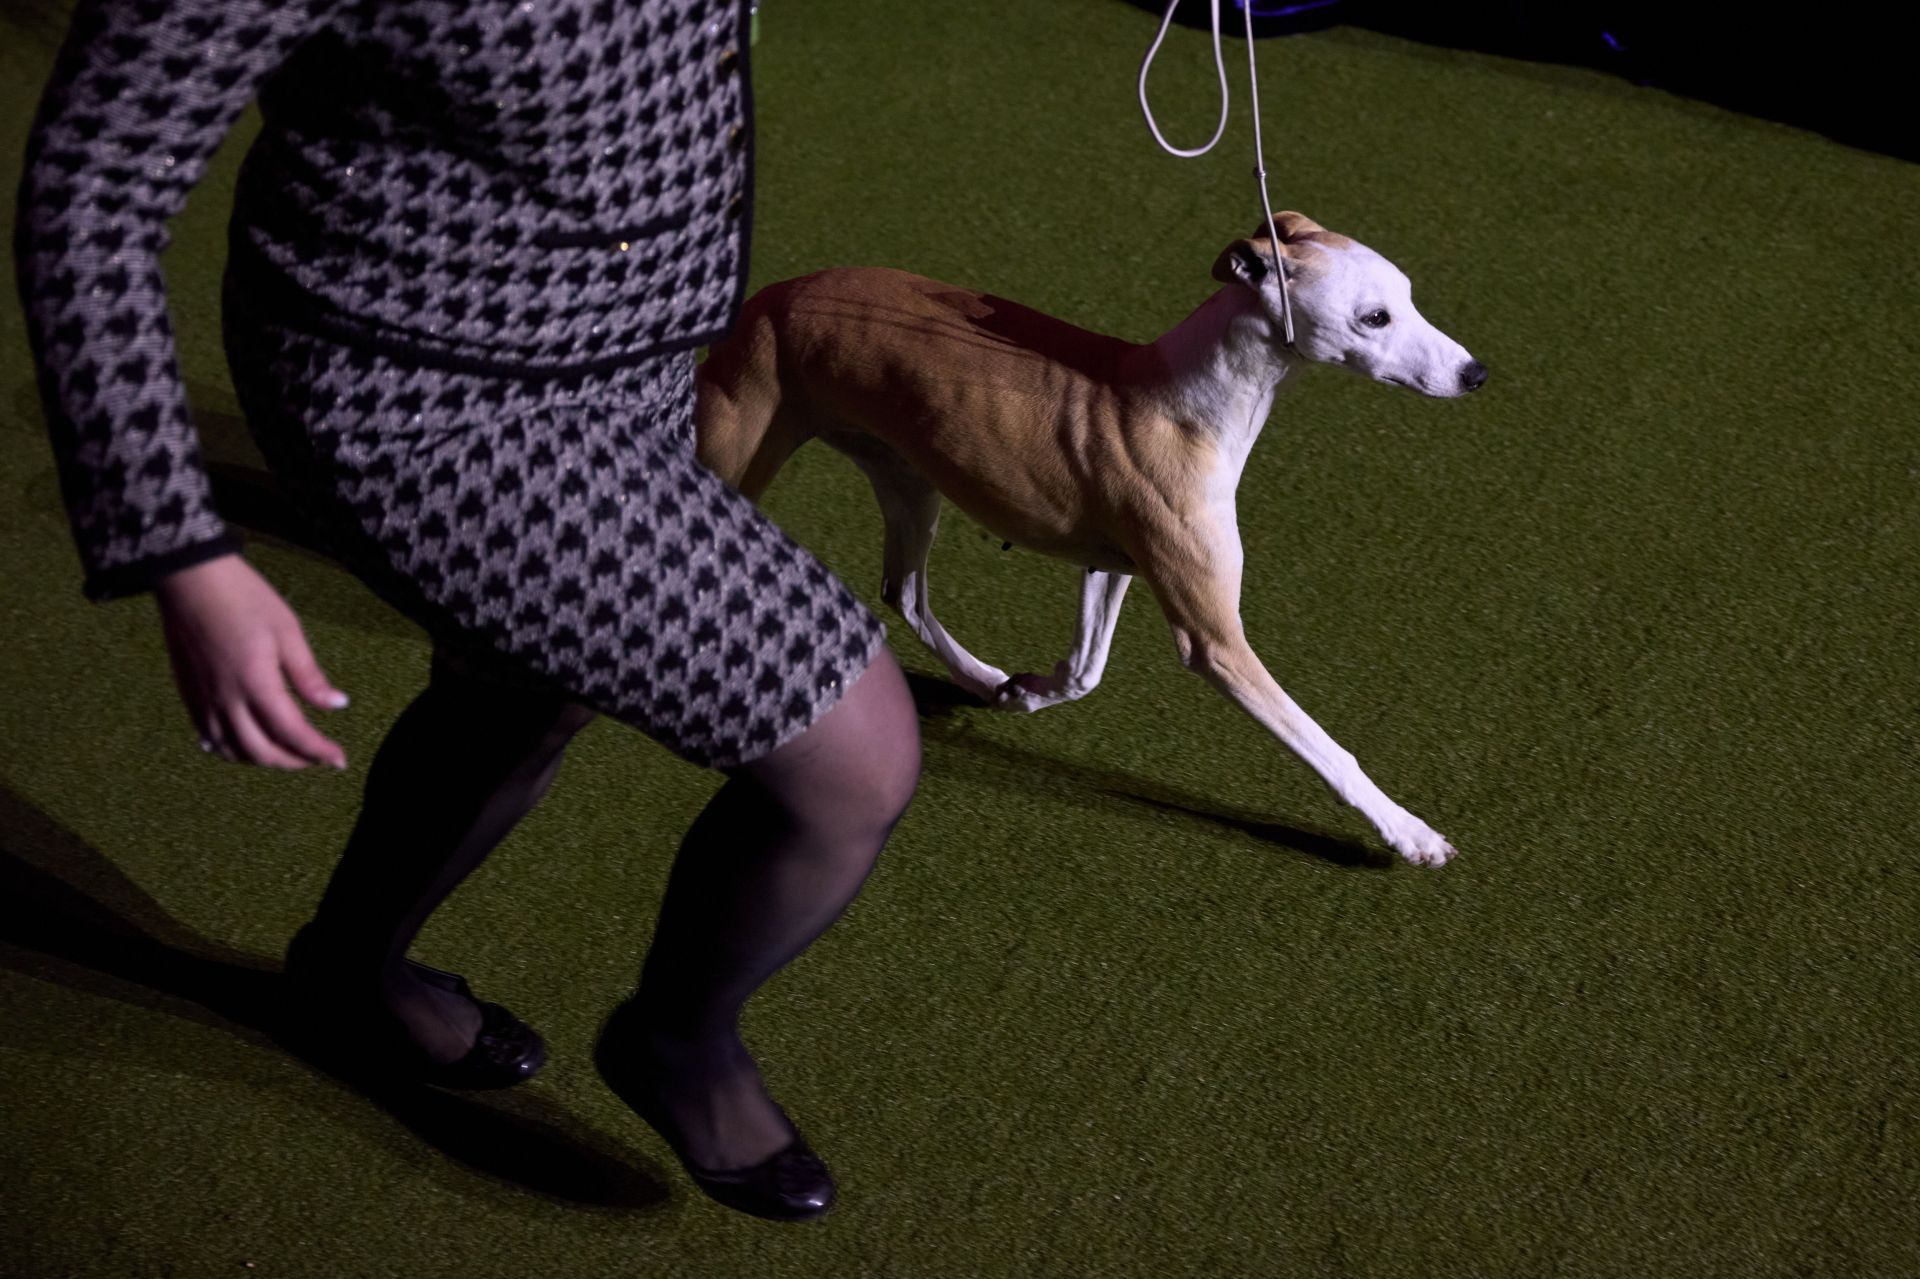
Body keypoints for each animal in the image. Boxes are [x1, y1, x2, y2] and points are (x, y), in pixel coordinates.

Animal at [695, 214, 1482, 860]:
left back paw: (980, 678)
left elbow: (1084, 671)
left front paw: (1024, 694)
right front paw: (1408, 832)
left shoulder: (1112, 566)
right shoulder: (1214, 637)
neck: (1187, 401)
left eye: (1409, 296)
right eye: (1374, 317)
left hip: (909, 483)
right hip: (740, 460)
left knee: (904, 592)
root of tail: (770, 295)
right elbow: (1326, 748)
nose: (1476, 373)